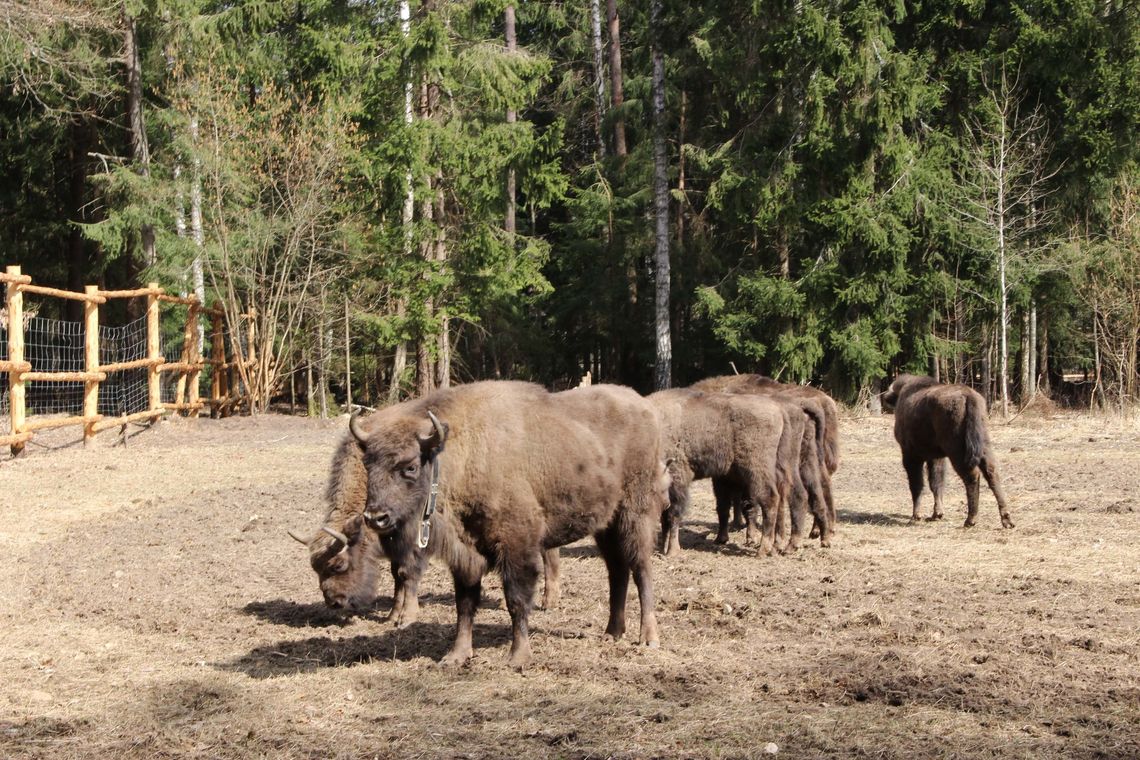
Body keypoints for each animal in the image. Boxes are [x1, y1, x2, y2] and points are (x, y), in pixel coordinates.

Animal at [346, 382, 665, 669]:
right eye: (368, 464)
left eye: (410, 466)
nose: (375, 517)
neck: (462, 453)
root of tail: (645, 408)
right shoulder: (466, 555)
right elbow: (465, 605)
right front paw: (456, 656)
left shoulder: (516, 547)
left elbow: (516, 601)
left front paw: (517, 658)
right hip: (606, 526)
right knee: (617, 571)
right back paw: (612, 633)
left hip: (635, 515)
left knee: (641, 570)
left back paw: (648, 637)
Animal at [880, 373, 1016, 528]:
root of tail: (968, 396)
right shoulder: (936, 457)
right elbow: (936, 483)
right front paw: (936, 514)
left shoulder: (911, 455)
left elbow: (917, 485)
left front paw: (916, 516)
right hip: (984, 445)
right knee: (992, 473)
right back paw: (1007, 520)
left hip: (957, 451)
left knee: (972, 476)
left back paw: (970, 520)